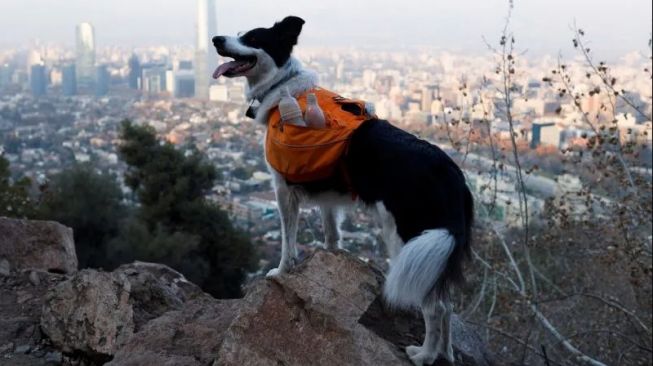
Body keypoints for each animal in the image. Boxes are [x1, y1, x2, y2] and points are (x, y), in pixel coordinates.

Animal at [214, 15, 474, 364]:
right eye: (239, 33)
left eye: (253, 38)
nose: (216, 40)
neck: (284, 87)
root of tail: (452, 174)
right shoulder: (328, 198)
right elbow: (332, 234)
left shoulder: (283, 190)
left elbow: (287, 241)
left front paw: (281, 271)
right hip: (433, 250)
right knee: (446, 305)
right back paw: (445, 352)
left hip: (410, 239)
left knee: (433, 307)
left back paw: (424, 355)